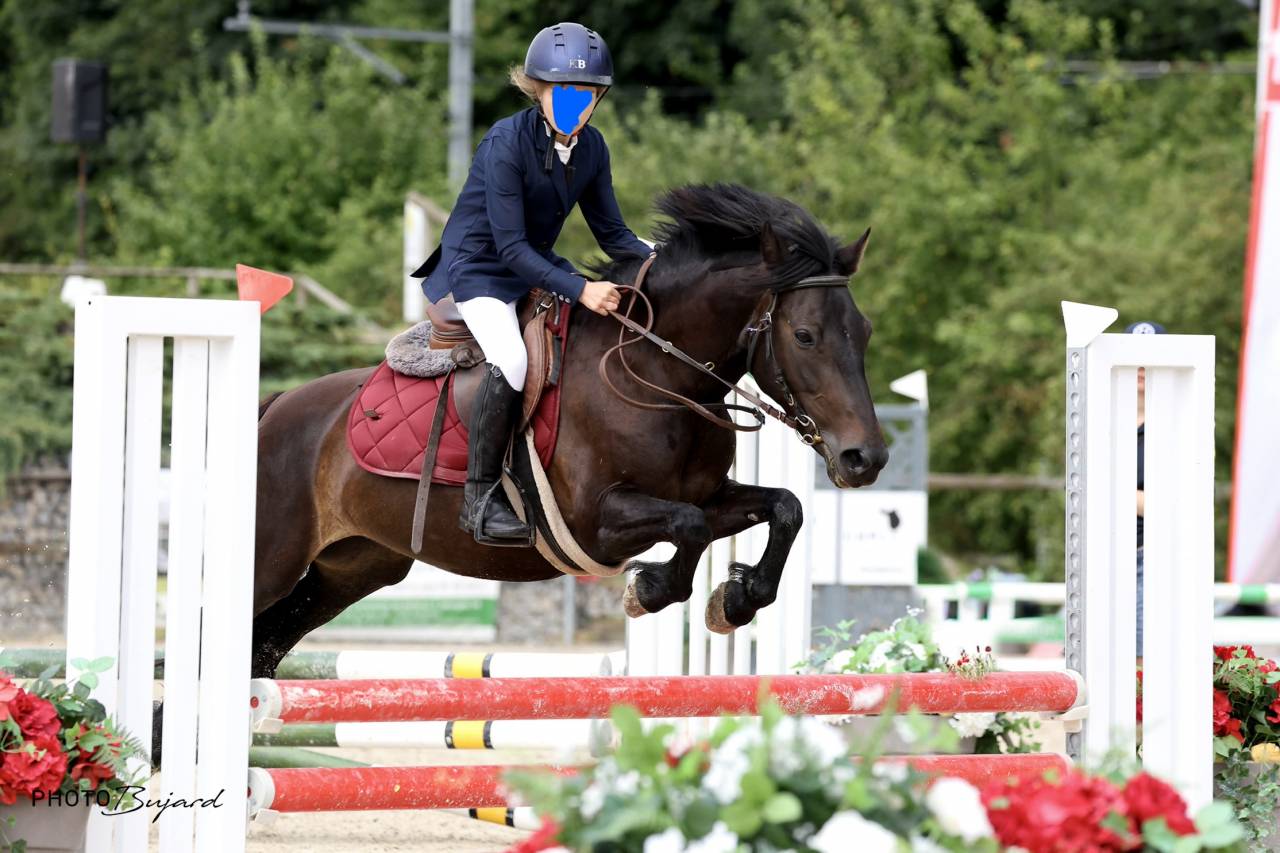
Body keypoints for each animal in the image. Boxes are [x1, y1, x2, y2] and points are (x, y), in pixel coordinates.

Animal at [248, 183, 888, 679]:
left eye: (864, 330)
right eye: (805, 335)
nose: (867, 459)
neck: (656, 375)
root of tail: (275, 408)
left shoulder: (710, 494)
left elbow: (783, 508)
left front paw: (735, 599)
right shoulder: (596, 521)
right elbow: (691, 527)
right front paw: (648, 590)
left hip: (352, 568)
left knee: (265, 648)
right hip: (271, 560)